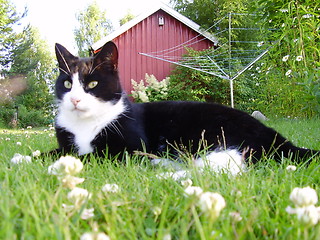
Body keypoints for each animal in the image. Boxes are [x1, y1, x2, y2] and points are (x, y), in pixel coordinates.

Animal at [51, 41, 318, 165]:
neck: (85, 125)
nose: (74, 99)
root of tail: (280, 140)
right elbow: (59, 152)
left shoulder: (129, 148)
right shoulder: (66, 143)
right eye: (67, 83)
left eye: (93, 84)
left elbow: (87, 156)